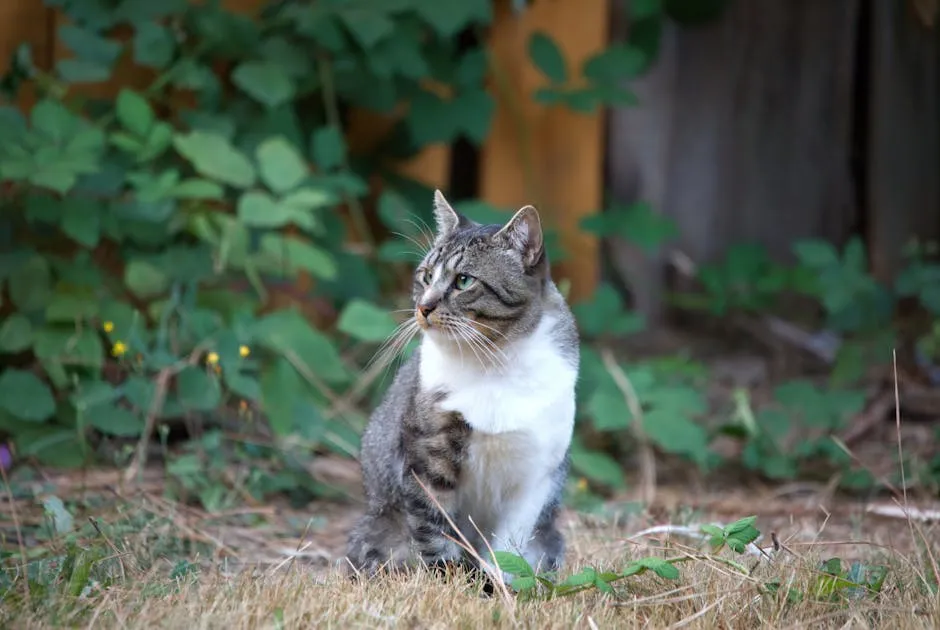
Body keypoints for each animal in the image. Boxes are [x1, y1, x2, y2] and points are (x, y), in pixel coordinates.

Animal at [346, 189, 580, 584]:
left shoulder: (537, 475)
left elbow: (507, 547)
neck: (494, 364)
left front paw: (497, 585)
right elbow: (434, 529)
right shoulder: (425, 456)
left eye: (464, 281)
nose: (423, 307)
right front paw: (449, 580)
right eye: (426, 276)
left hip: (549, 538)